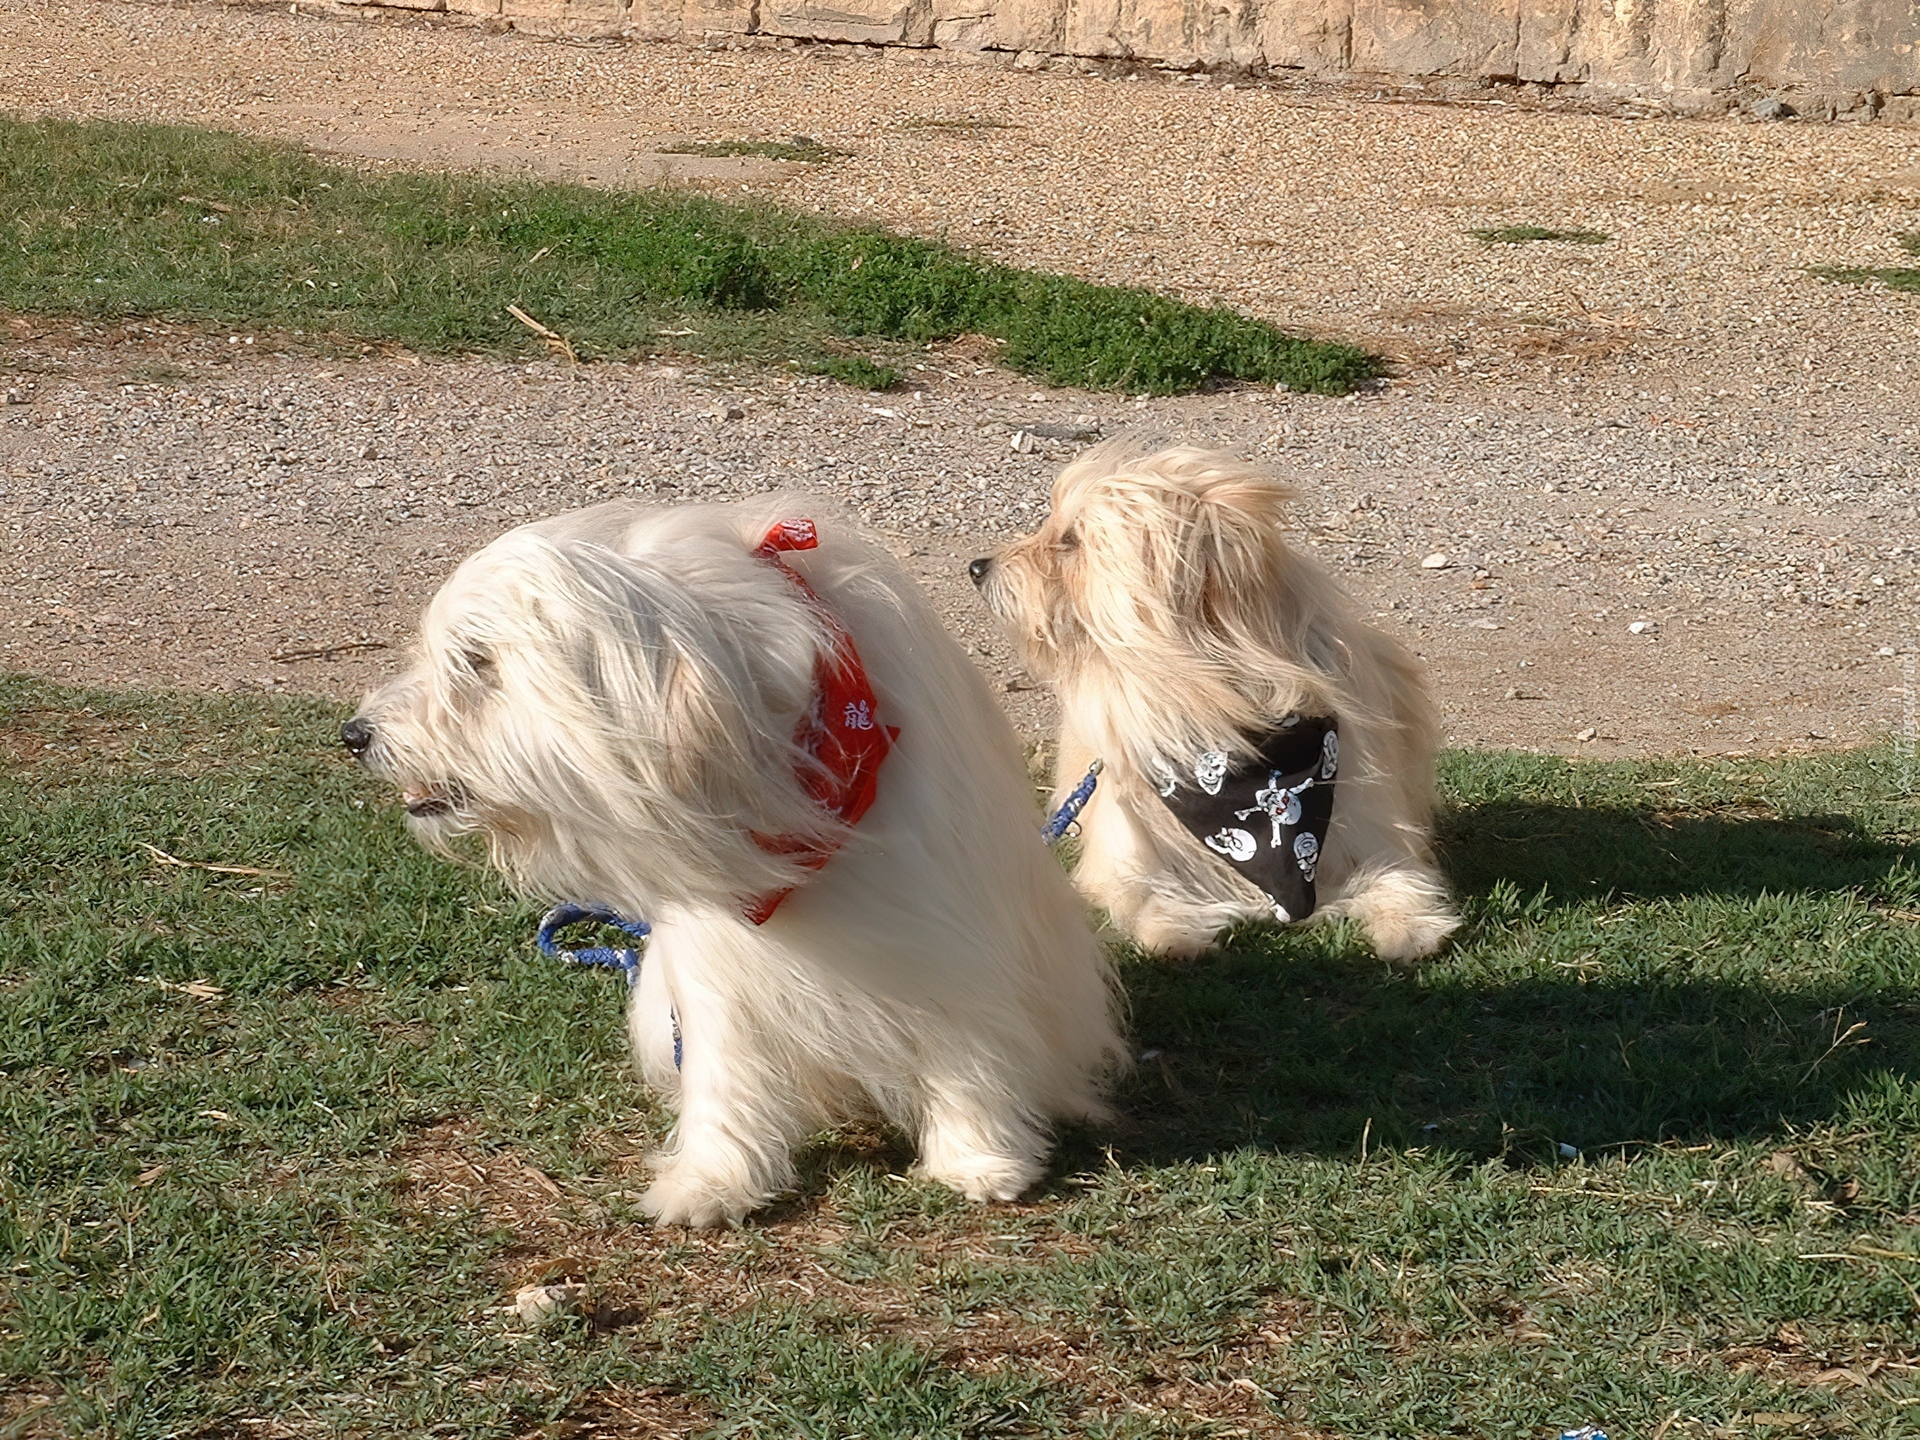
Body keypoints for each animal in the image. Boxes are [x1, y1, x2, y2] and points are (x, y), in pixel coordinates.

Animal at [345, 495, 1121, 1228]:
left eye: (477, 661)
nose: (355, 734)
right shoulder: (717, 967)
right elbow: (725, 1075)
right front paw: (713, 1181)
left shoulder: (945, 925)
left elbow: (968, 1043)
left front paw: (981, 1157)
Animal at [967, 449, 1459, 971]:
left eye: (1070, 541)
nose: (978, 566)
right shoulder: (1128, 858)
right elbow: (1142, 899)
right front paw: (1172, 932)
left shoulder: (1367, 835)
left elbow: (1398, 878)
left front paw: (1409, 927)